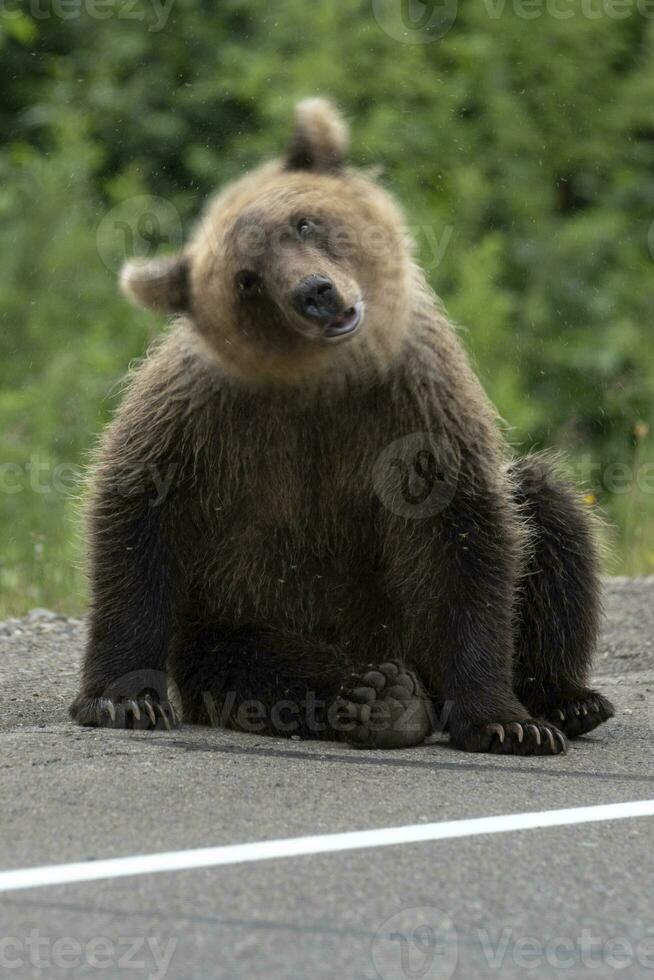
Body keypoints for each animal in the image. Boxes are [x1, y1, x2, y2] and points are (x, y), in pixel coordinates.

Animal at [70, 99, 616, 756]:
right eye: (247, 277)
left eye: (304, 223)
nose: (315, 292)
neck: (324, 382)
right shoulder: (203, 416)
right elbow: (139, 512)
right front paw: (124, 699)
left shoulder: (419, 408)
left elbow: (467, 542)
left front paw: (507, 721)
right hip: (238, 617)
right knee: (261, 664)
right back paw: (380, 698)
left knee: (551, 517)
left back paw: (565, 699)